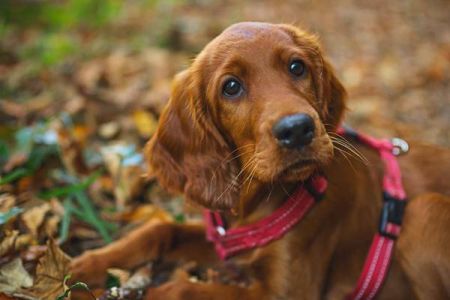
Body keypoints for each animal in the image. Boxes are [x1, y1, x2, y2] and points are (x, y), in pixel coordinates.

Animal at [70, 22, 450, 298]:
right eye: (231, 87)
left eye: (297, 67)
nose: (297, 129)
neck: (257, 200)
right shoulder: (229, 244)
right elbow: (160, 230)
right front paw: (83, 266)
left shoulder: (284, 293)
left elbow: (183, 289)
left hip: (423, 211)